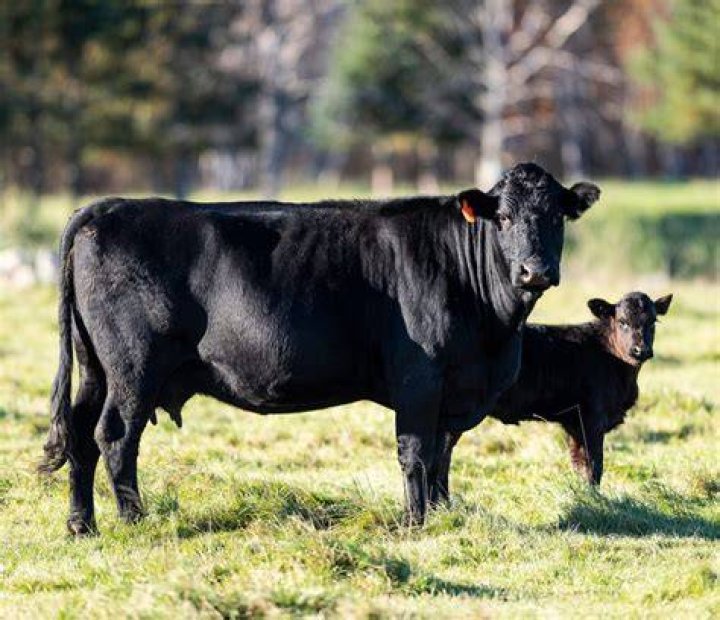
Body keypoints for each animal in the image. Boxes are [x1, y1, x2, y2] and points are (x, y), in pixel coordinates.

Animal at [39, 163, 600, 535]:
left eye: (557, 217)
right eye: (501, 217)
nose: (534, 271)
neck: (493, 337)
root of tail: (107, 206)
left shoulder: (455, 393)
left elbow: (443, 454)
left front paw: (443, 514)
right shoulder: (419, 380)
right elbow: (417, 452)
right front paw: (416, 523)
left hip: (96, 369)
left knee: (81, 436)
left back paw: (81, 525)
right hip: (133, 368)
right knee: (115, 436)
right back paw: (135, 520)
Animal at [431, 291, 673, 503]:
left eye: (653, 321)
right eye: (622, 321)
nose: (640, 350)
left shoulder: (574, 423)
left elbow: (579, 464)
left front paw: (584, 497)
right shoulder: (592, 419)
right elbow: (595, 465)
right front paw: (596, 500)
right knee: (442, 454)